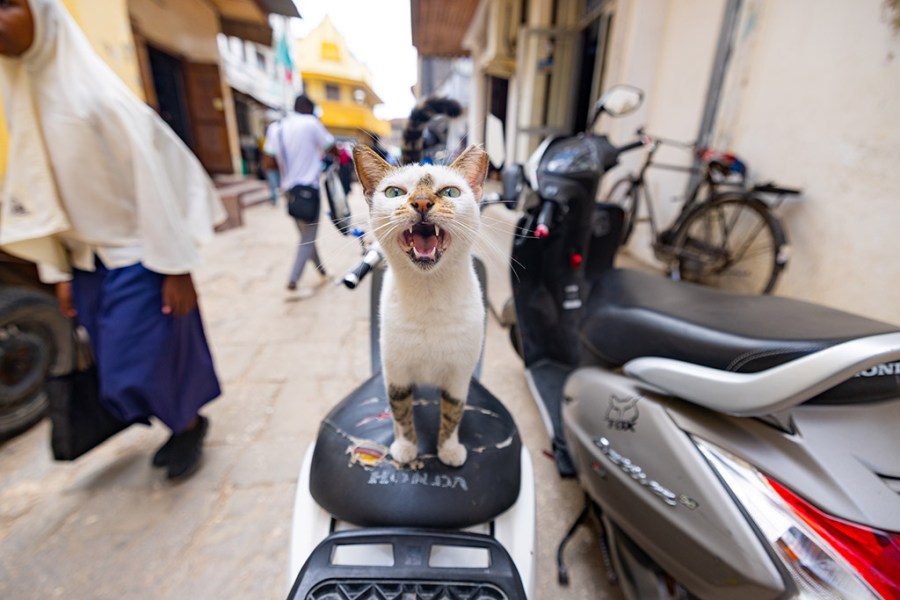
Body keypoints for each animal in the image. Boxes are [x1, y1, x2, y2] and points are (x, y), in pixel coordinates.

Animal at [356, 143, 488, 466]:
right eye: (394, 192)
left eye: (451, 192)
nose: (422, 202)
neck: (430, 296)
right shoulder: (396, 371)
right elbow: (401, 412)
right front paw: (406, 448)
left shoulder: (459, 374)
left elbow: (453, 413)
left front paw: (448, 449)